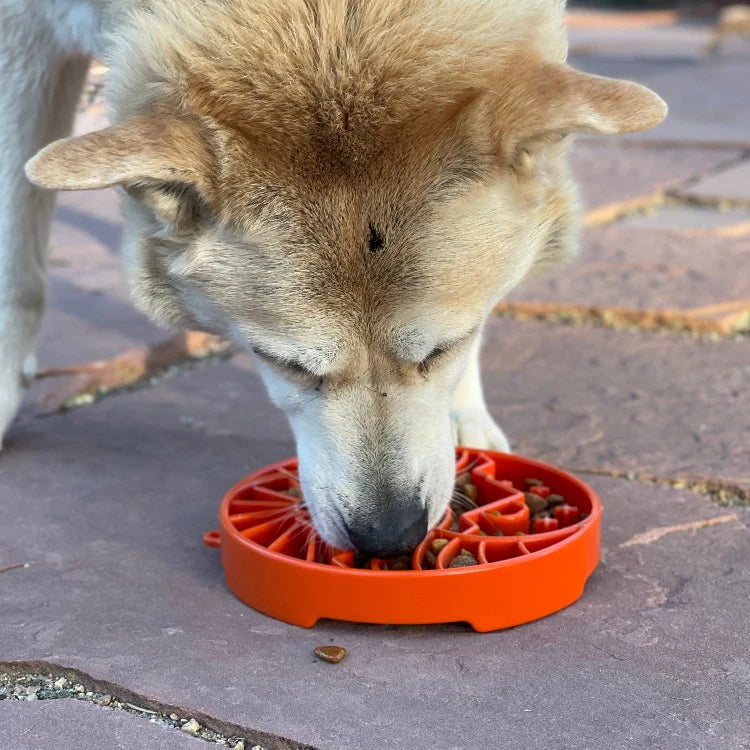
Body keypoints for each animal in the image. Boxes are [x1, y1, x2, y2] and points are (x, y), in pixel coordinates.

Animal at [1, 0, 668, 560]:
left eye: (443, 348)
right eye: (284, 364)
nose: (389, 537)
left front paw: (464, 412)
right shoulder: (25, 37)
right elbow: (18, 266)